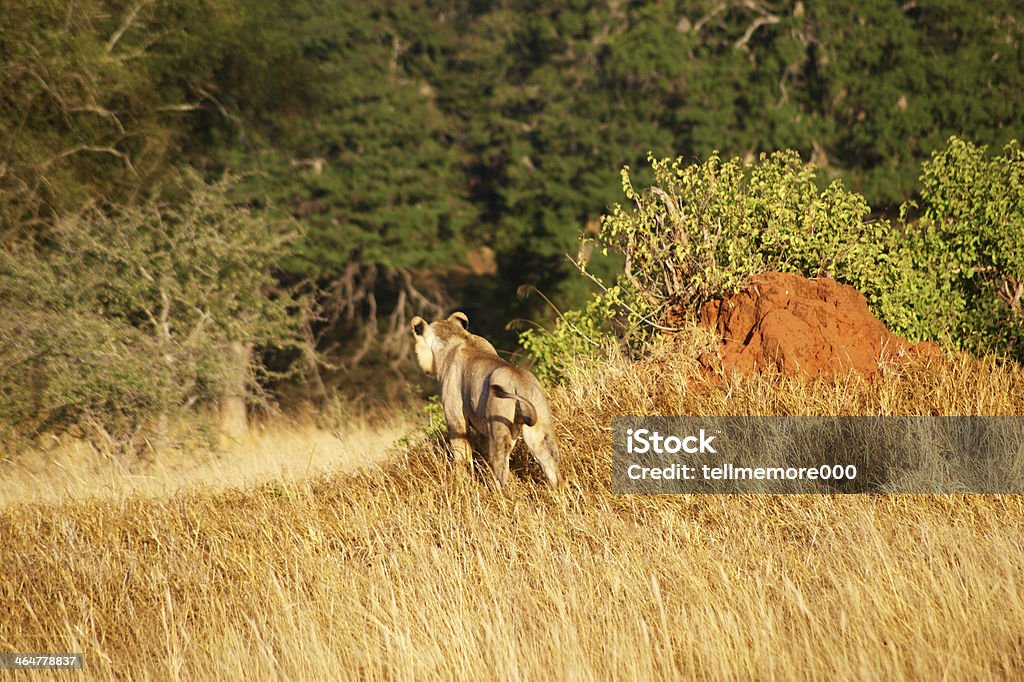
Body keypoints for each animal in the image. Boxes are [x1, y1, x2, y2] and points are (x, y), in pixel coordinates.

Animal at [409, 311, 561, 485]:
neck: (454, 338)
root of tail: (520, 380)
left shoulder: (456, 420)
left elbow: (461, 457)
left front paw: (462, 485)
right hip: (541, 430)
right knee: (553, 468)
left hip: (499, 429)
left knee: (501, 470)